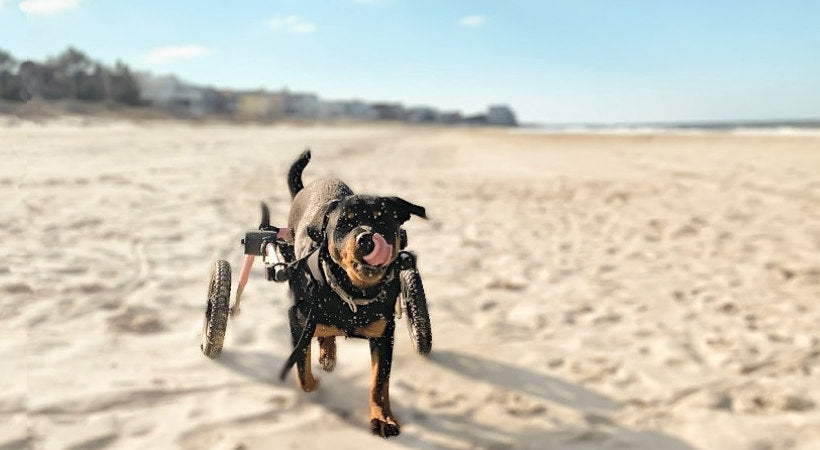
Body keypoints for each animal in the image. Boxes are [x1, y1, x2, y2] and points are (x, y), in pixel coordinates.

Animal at [280, 149, 426, 438]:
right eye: (343, 224)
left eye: (383, 219)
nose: (367, 238)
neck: (353, 292)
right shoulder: (298, 318)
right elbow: (302, 370)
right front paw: (315, 381)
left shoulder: (384, 333)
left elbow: (379, 382)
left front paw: (382, 418)